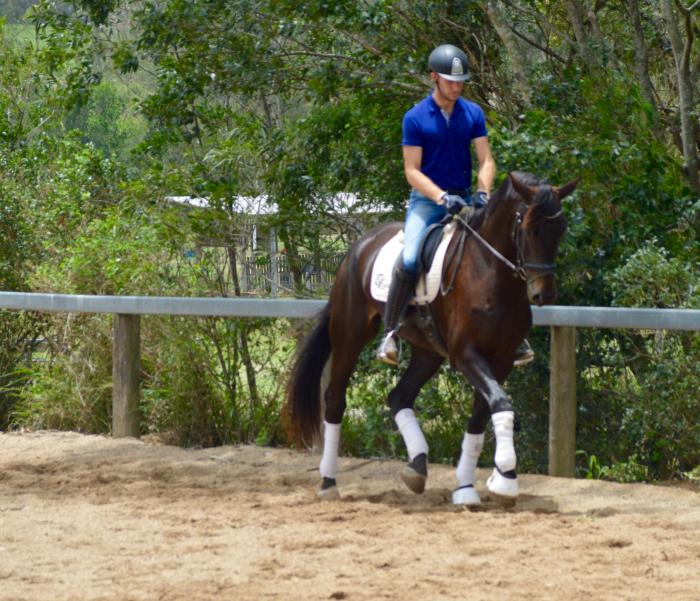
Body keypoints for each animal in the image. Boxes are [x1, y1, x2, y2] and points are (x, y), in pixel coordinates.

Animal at [286, 172, 578, 505]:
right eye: (530, 228)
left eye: (560, 228)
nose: (544, 295)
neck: (490, 273)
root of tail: (357, 248)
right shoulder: (466, 355)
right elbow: (501, 403)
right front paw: (505, 478)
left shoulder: (501, 358)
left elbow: (482, 415)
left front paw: (467, 486)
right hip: (350, 334)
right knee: (335, 400)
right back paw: (328, 482)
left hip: (428, 351)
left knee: (399, 396)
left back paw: (417, 466)